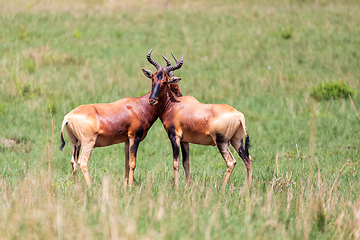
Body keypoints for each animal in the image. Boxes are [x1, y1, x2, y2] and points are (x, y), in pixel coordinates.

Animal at [60, 54, 183, 186]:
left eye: (164, 81)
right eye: (153, 79)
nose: (152, 101)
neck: (138, 105)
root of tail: (68, 117)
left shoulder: (127, 140)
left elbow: (126, 163)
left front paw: (125, 186)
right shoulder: (134, 137)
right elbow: (133, 163)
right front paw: (130, 186)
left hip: (75, 143)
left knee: (73, 162)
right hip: (88, 142)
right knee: (82, 162)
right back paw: (90, 186)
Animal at [141, 48, 253, 188]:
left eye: (165, 81)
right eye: (153, 78)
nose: (152, 100)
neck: (175, 105)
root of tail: (239, 116)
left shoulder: (175, 137)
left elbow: (175, 162)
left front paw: (176, 187)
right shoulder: (185, 140)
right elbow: (186, 163)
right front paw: (188, 186)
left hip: (222, 141)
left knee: (231, 162)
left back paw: (221, 188)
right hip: (237, 140)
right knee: (248, 159)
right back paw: (249, 188)